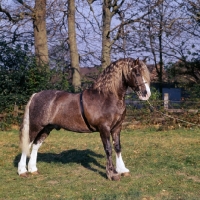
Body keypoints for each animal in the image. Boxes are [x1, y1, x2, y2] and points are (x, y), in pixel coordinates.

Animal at [18, 57, 151, 180]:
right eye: (137, 73)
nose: (146, 94)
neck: (106, 97)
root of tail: (36, 95)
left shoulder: (117, 127)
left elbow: (117, 147)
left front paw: (122, 170)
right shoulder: (104, 129)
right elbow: (108, 149)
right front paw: (112, 174)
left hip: (46, 128)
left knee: (35, 145)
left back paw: (33, 169)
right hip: (35, 127)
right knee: (27, 144)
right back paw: (22, 171)